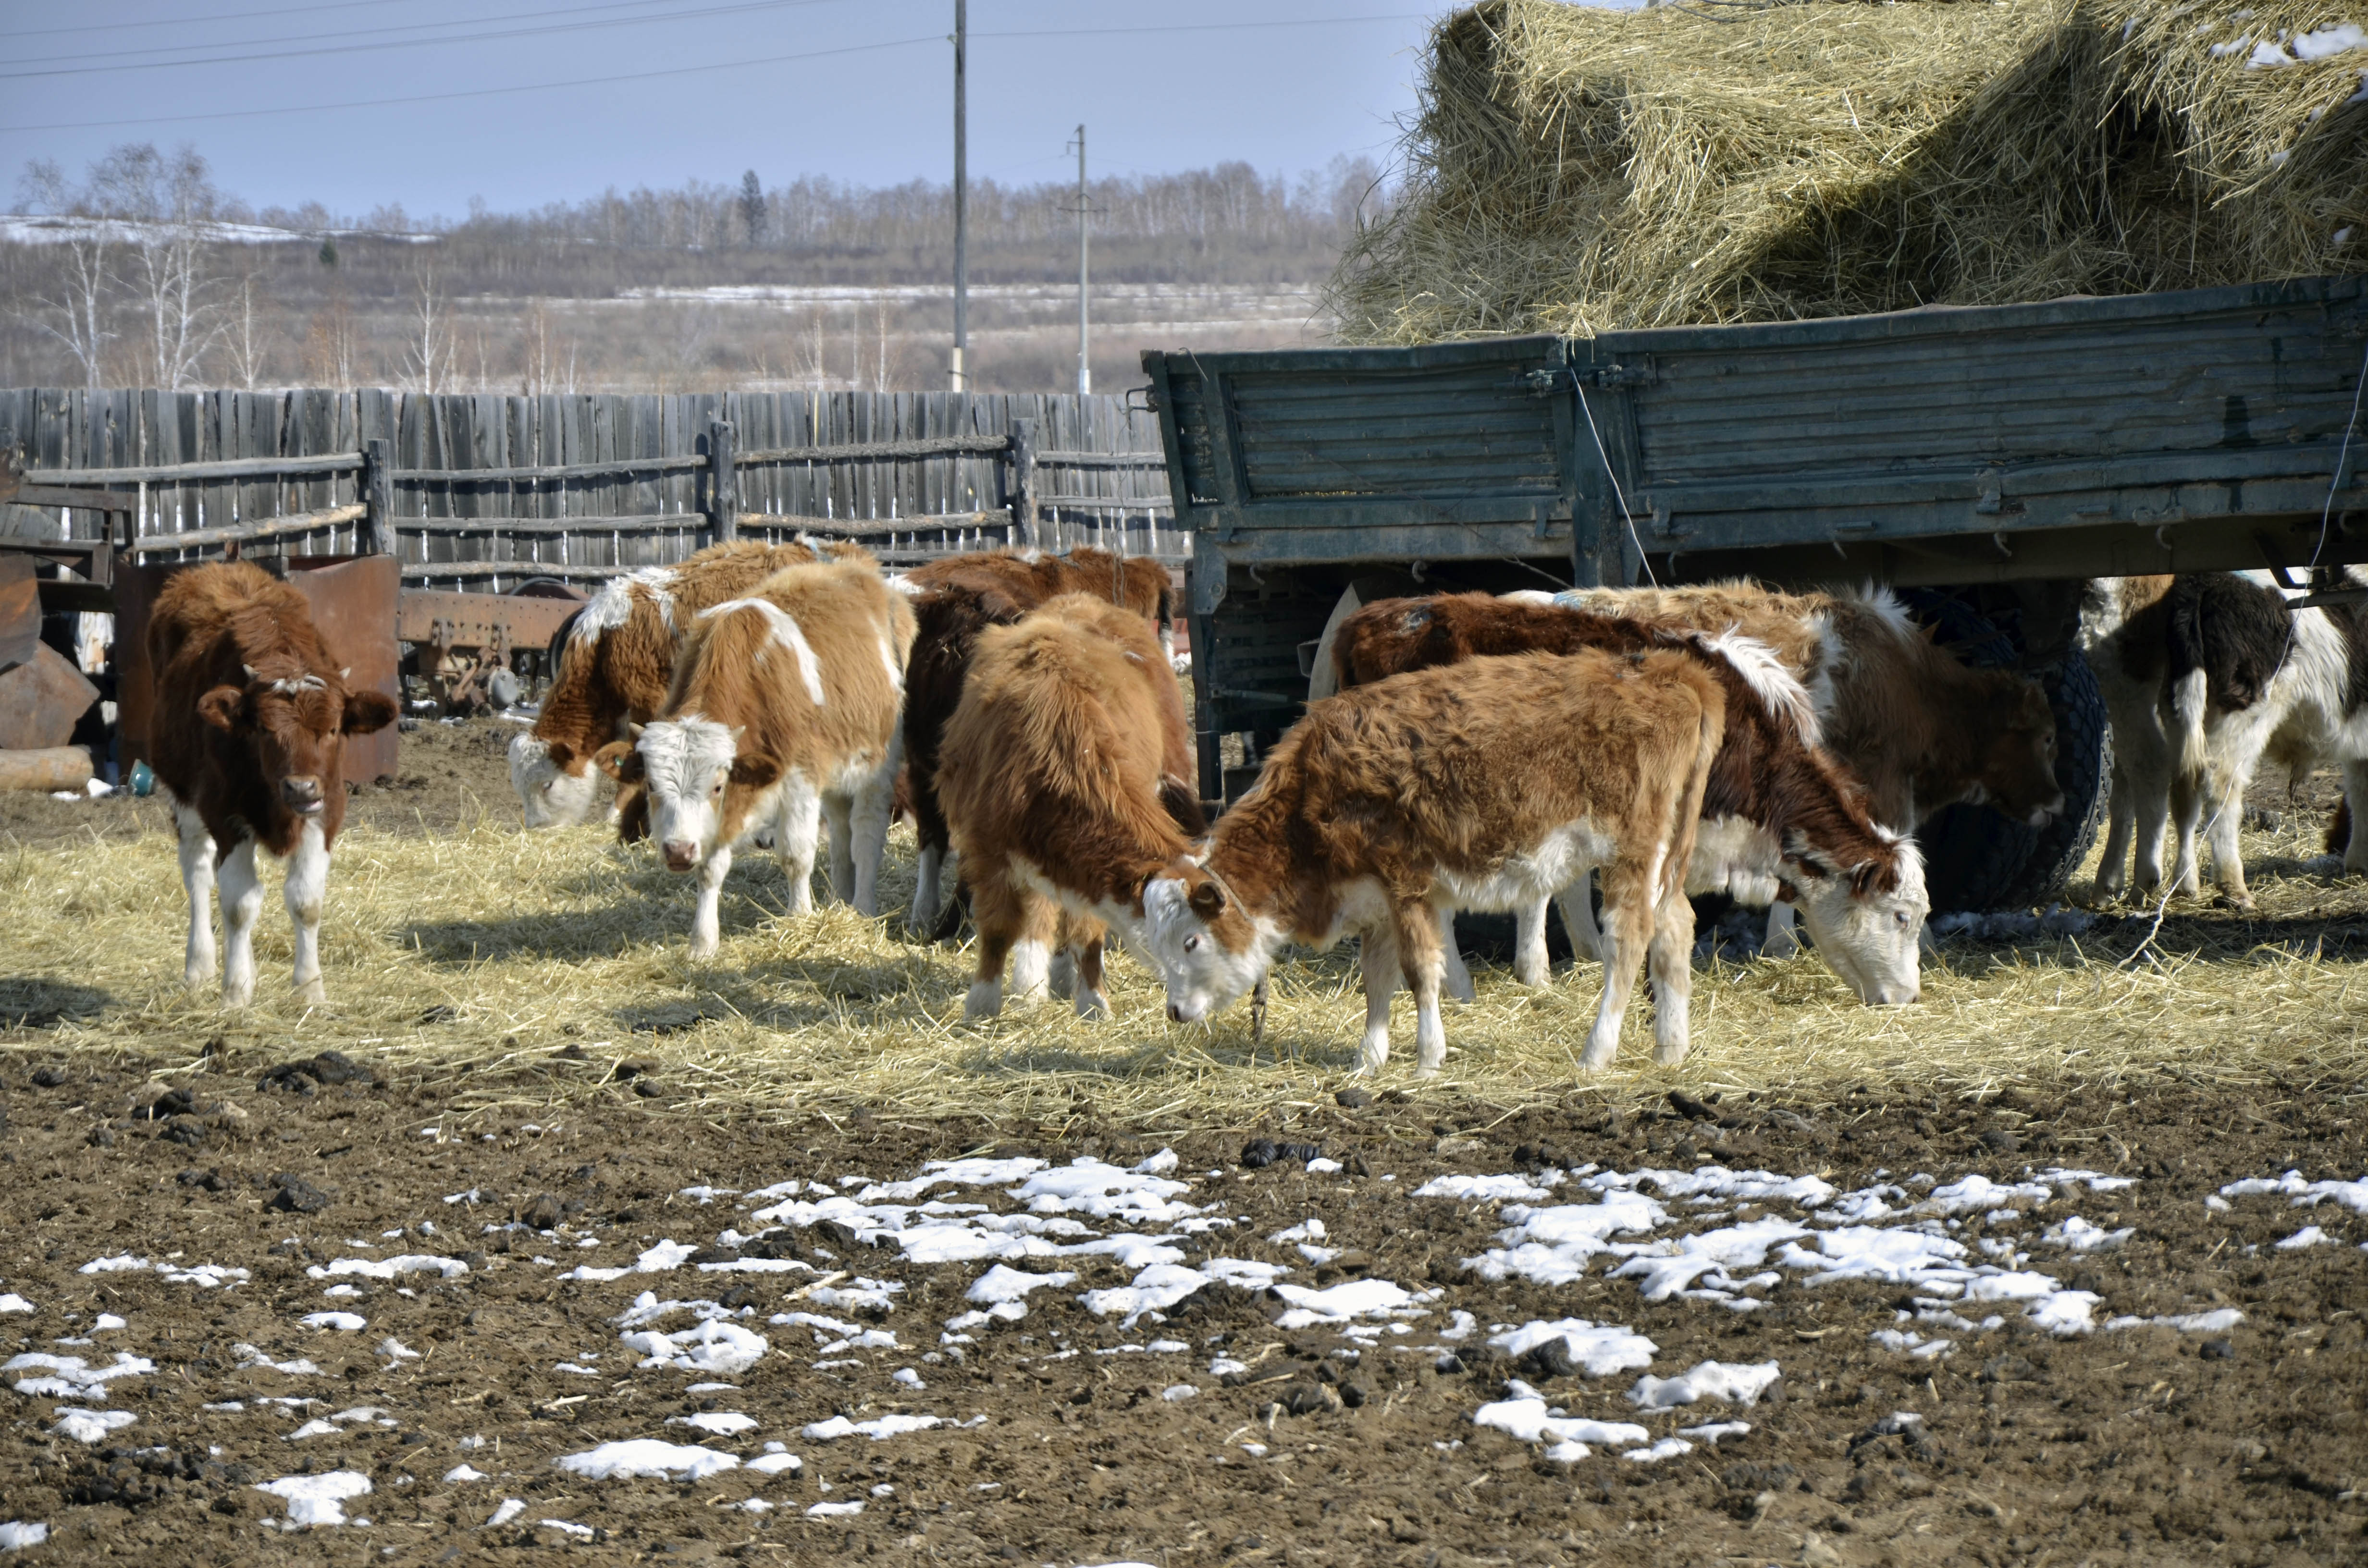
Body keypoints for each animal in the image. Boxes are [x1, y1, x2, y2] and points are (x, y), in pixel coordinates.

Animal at [146, 566, 395, 1009]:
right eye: (263, 728)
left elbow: (306, 901)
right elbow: (240, 905)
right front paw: (236, 990)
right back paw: (200, 966)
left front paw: (310, 988)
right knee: (198, 875)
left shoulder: (325, 814)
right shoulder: (226, 816)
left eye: (333, 729)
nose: (300, 787)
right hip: (184, 799)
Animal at [509, 540, 824, 833]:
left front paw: (621, 815)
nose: (535, 829)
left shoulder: (648, 700)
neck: (603, 640)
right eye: (520, 788)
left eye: (547, 785)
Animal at [592, 559, 914, 966]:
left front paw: (800, 919)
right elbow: (710, 869)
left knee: (867, 834)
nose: (678, 851)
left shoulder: (800, 781)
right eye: (650, 785)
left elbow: (796, 856)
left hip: (878, 765)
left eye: (717, 785)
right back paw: (840, 903)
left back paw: (863, 909)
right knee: (842, 836)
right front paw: (703, 943)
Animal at [937, 597, 1203, 1028]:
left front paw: (1092, 1000)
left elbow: (1088, 934)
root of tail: (1083, 601)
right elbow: (998, 930)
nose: (1189, 1011)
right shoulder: (989, 849)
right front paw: (984, 1003)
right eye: (1190, 940)